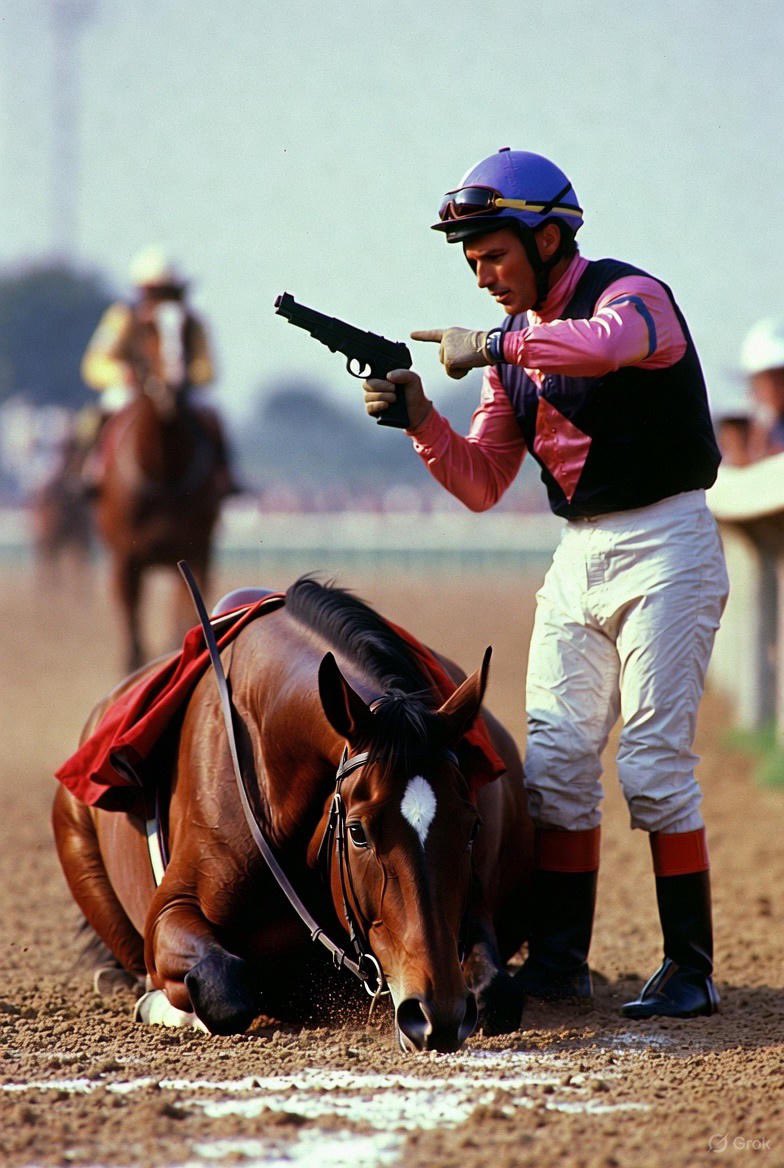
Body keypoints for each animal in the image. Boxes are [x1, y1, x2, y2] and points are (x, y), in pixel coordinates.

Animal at [52, 577, 534, 1052]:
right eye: (357, 832)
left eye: (471, 826)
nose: (439, 1015)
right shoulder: (171, 909)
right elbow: (222, 989)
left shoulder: (472, 905)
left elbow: (495, 990)